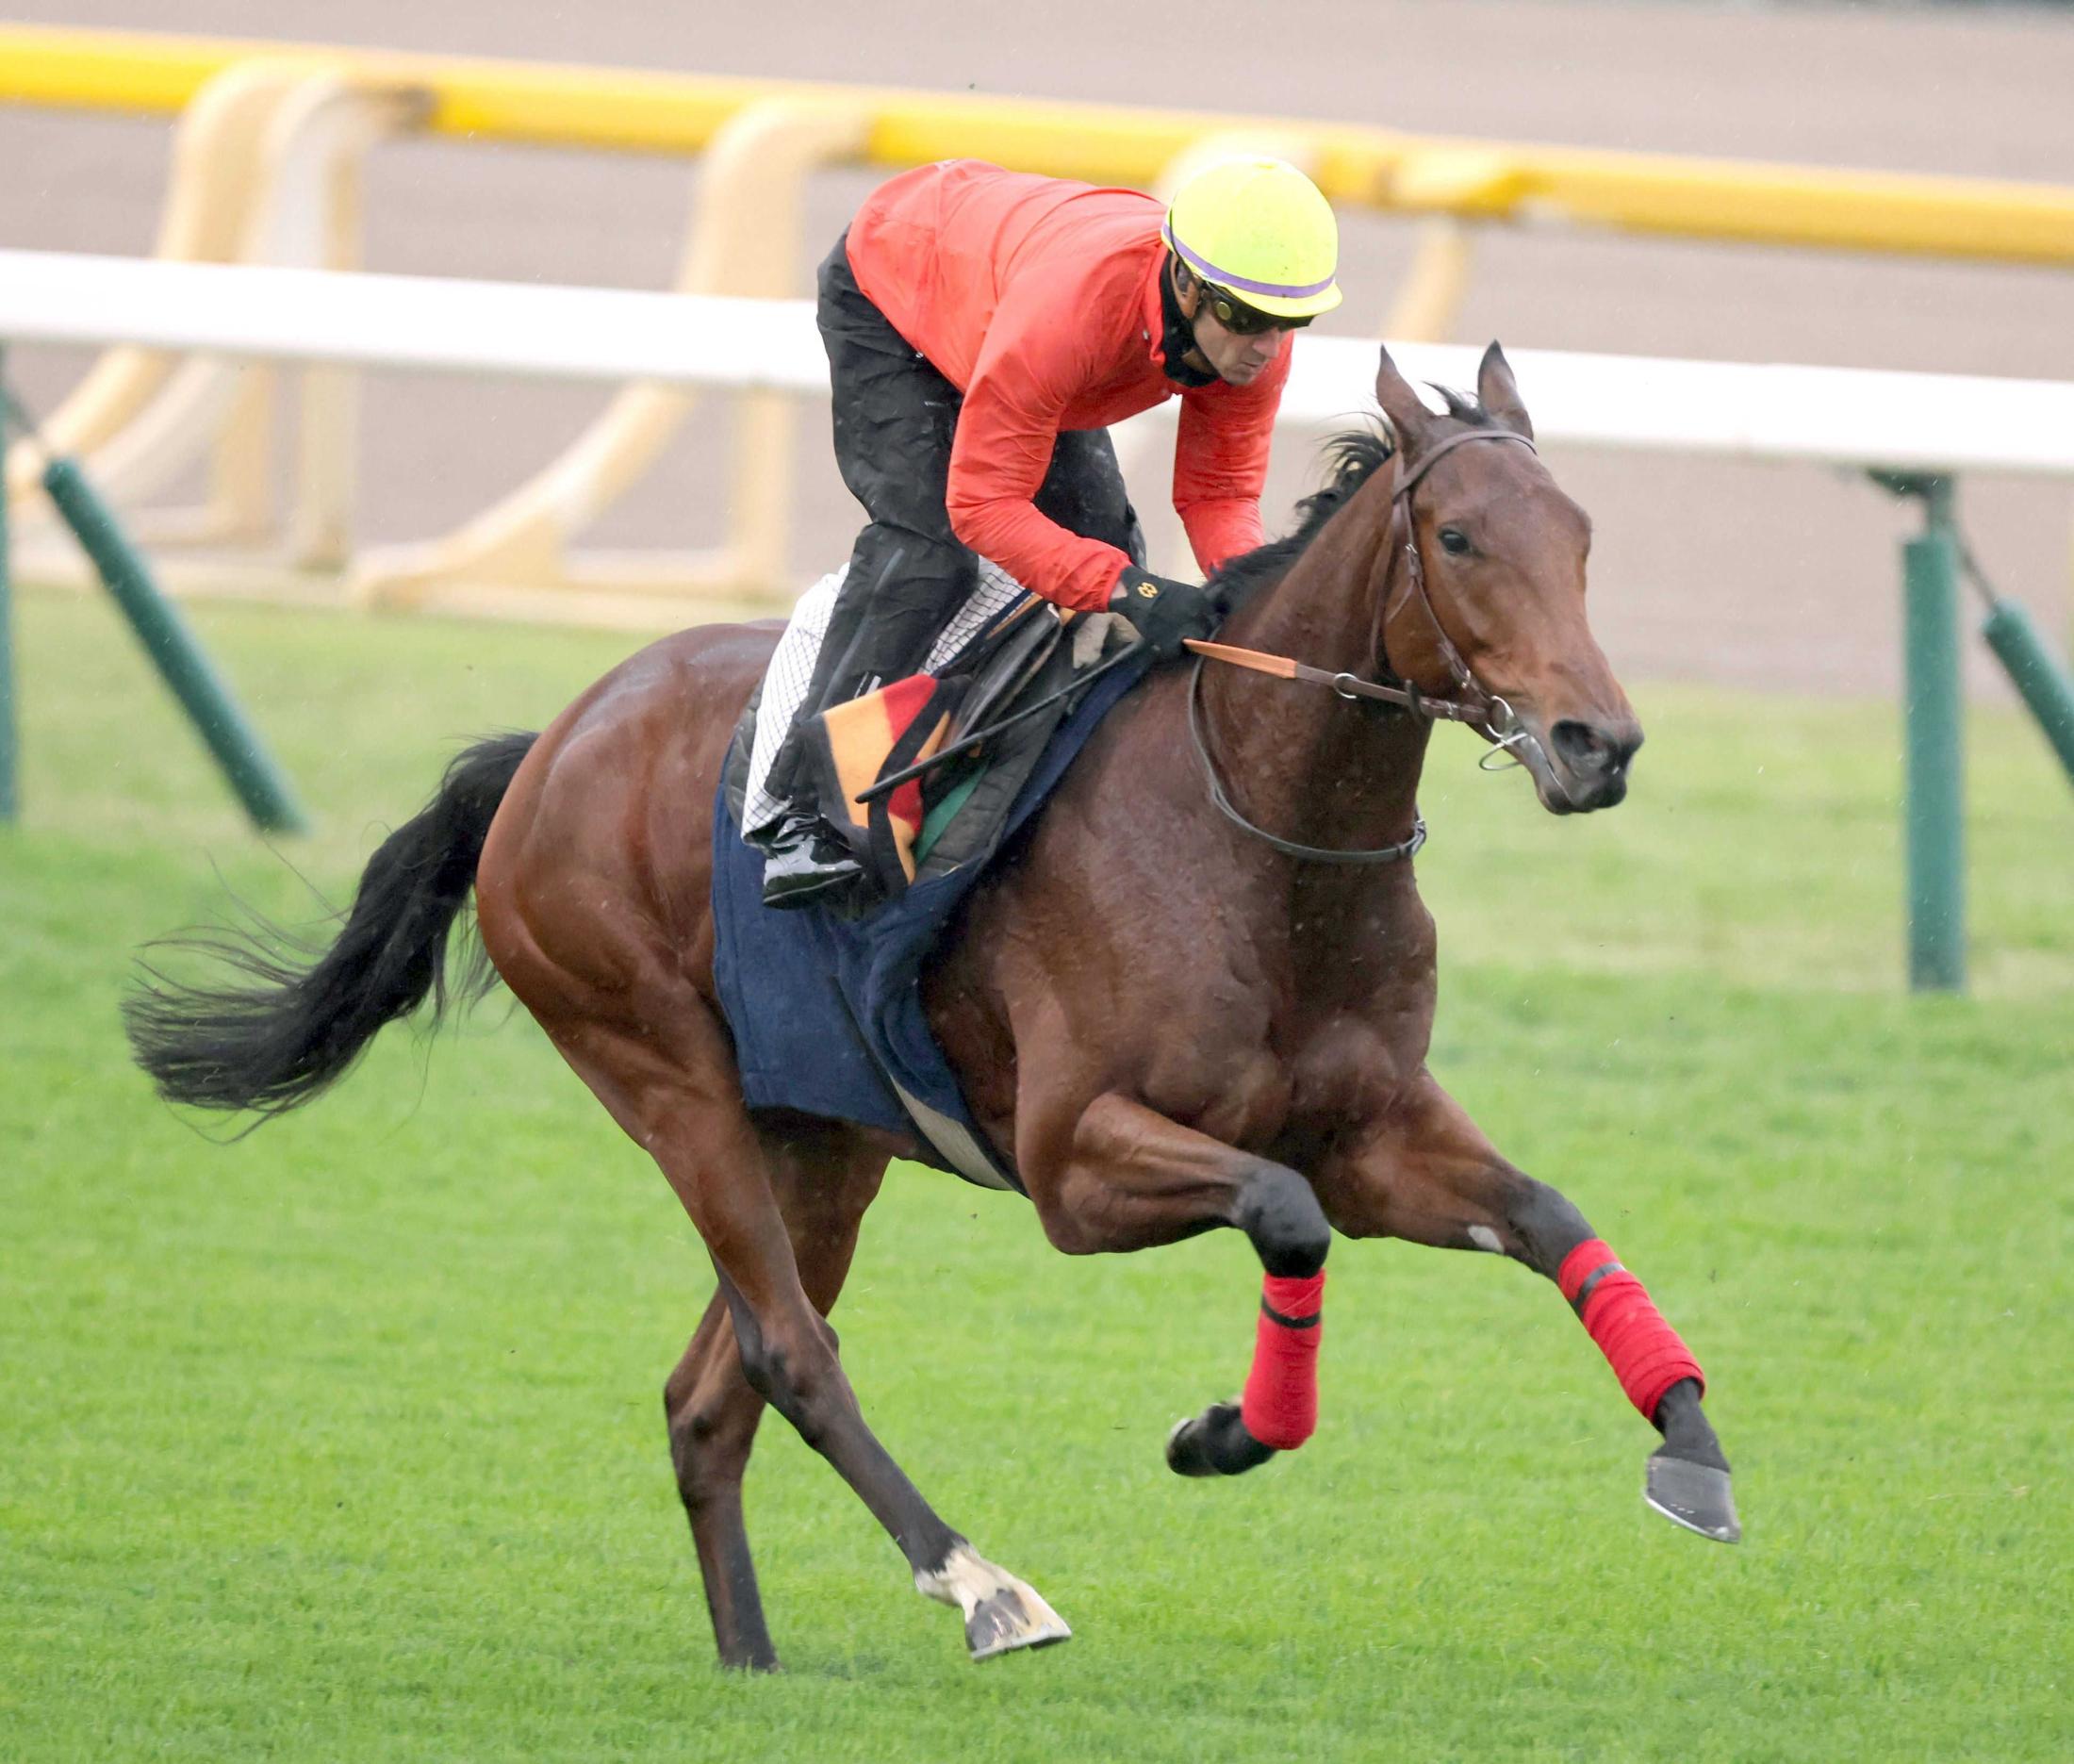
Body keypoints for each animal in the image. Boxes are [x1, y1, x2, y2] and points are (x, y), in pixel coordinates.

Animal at [117, 339, 1734, 1659]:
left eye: (1583, 540)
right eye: (1459, 535)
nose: (1597, 743)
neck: (1262, 843)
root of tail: (547, 746)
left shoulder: (1373, 1125)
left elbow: (1545, 1216)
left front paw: (1693, 1450)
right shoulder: (1075, 1161)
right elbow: (1285, 1213)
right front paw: (1222, 1430)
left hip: (819, 1143)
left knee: (708, 1398)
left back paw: (754, 1663)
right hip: (665, 1075)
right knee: (790, 1352)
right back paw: (983, 1584)